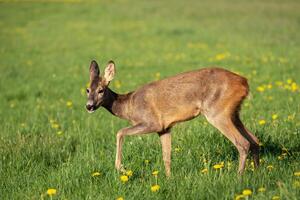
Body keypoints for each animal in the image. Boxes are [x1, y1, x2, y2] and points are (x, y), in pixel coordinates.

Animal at [85, 59, 258, 177]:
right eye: (87, 89)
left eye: (101, 90)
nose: (89, 106)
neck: (129, 105)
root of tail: (244, 82)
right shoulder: (164, 128)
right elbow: (166, 156)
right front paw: (169, 178)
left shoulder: (152, 122)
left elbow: (119, 132)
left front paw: (120, 168)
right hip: (233, 113)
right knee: (255, 140)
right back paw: (256, 172)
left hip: (217, 112)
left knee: (243, 143)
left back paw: (239, 177)